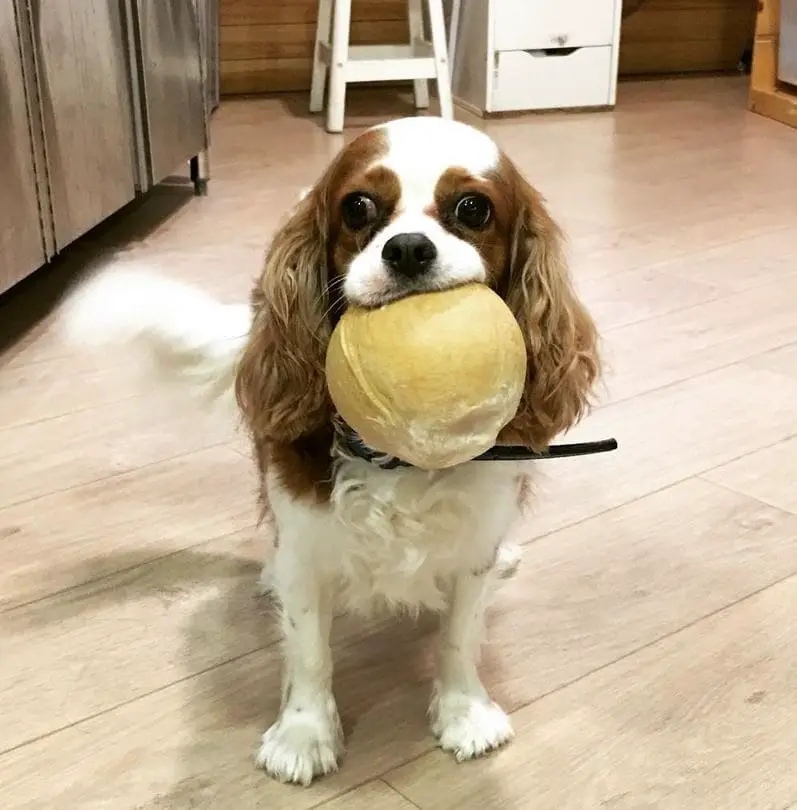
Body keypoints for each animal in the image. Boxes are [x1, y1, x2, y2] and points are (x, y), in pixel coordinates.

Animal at [65, 113, 600, 784]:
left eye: (473, 208)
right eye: (358, 207)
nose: (407, 248)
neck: (397, 455)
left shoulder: (474, 541)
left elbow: (459, 634)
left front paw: (464, 713)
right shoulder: (303, 539)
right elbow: (310, 649)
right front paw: (304, 734)